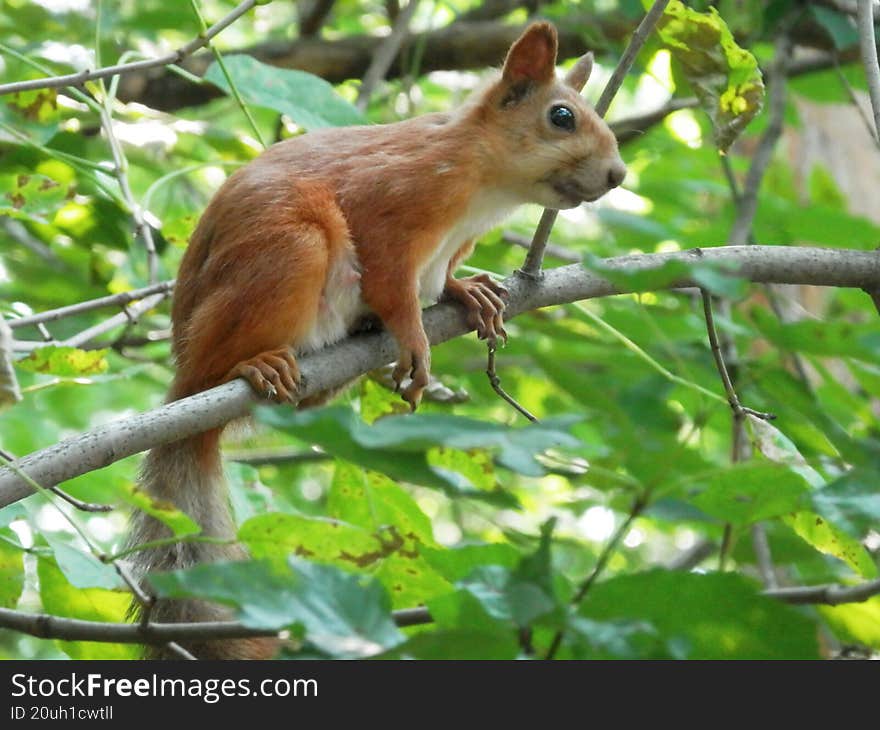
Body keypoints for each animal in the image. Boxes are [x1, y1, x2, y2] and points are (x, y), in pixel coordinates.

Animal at [126, 21, 625, 659]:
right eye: (561, 116)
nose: (618, 175)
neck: (483, 180)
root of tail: (182, 396)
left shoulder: (454, 244)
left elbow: (445, 277)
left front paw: (470, 293)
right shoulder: (390, 205)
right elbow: (392, 283)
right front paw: (414, 338)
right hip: (288, 252)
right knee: (219, 364)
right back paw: (254, 366)